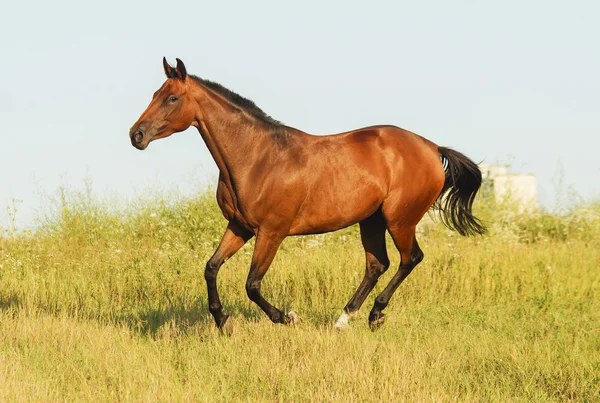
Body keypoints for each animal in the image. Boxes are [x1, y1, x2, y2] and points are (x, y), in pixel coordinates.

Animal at [129, 58, 486, 332]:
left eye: (172, 98)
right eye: (156, 93)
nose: (137, 135)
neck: (257, 158)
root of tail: (432, 148)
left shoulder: (271, 232)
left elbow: (252, 284)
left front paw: (287, 317)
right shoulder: (240, 227)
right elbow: (211, 267)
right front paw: (223, 322)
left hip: (400, 219)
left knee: (410, 258)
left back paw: (375, 315)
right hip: (371, 220)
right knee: (377, 264)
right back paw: (343, 320)